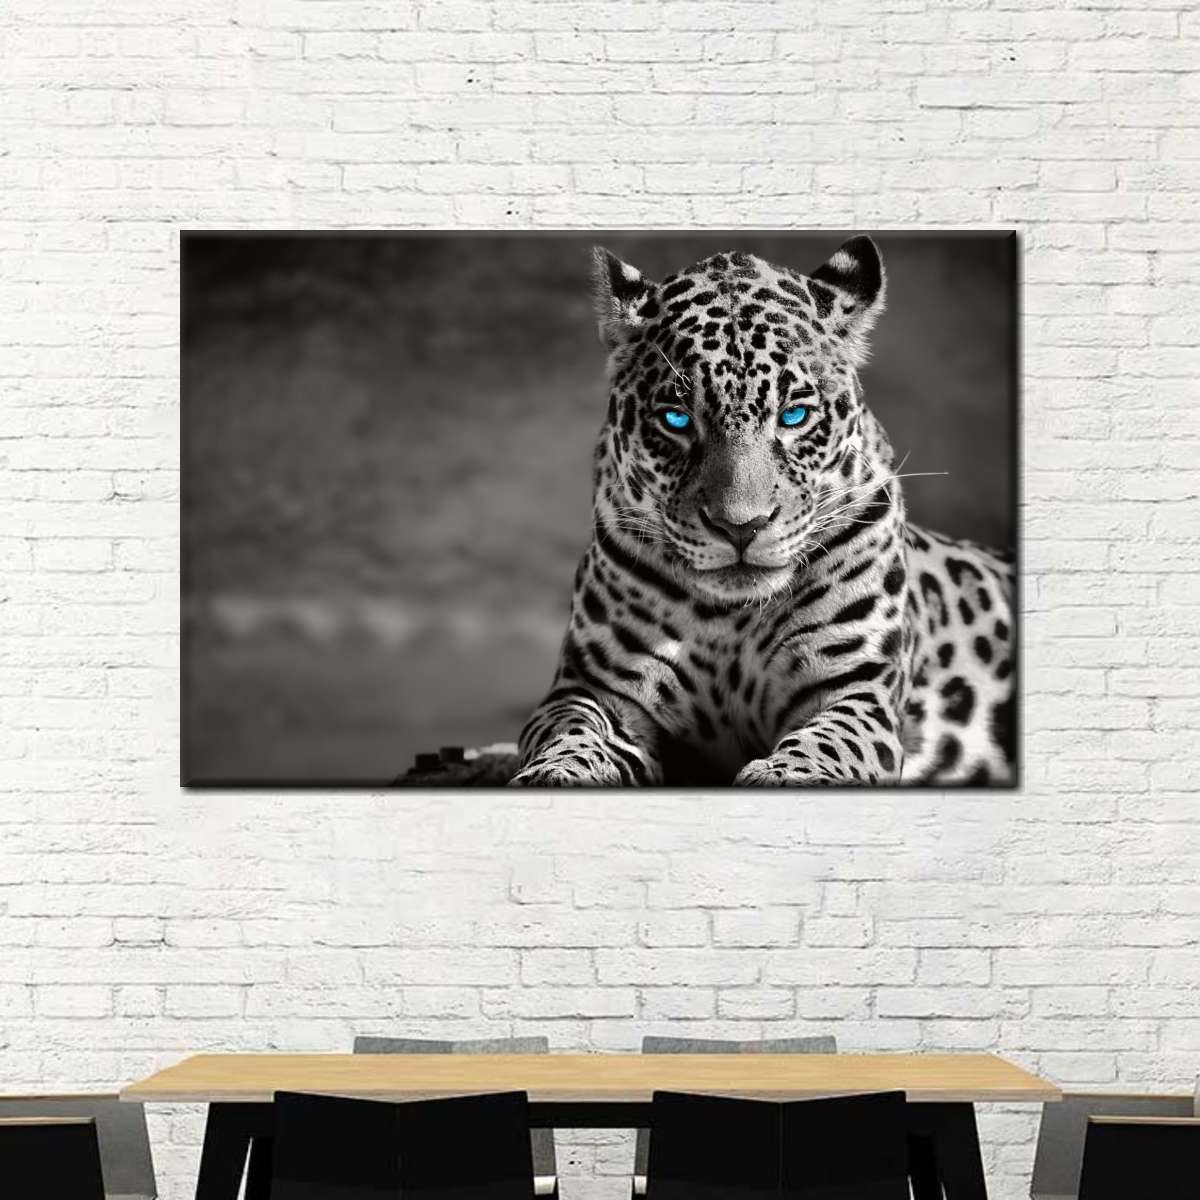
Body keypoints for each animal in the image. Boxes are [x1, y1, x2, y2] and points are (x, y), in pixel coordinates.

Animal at [511, 236, 1015, 788]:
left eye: (794, 415)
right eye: (676, 420)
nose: (740, 527)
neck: (730, 619)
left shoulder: (855, 689)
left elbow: (828, 743)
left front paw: (785, 774)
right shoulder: (593, 687)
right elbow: (571, 733)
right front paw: (555, 773)